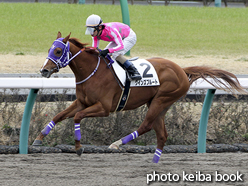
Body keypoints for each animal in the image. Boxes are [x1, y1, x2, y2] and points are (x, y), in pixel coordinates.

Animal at [33, 32, 246, 163]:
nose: (44, 71)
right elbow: (59, 116)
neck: (93, 72)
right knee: (162, 134)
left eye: (58, 51)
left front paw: (78, 147)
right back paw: (154, 162)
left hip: (162, 99)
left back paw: (117, 143)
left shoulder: (104, 108)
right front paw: (39, 138)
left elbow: (77, 117)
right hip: (160, 104)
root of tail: (181, 69)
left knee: (146, 126)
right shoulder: (82, 102)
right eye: (50, 49)